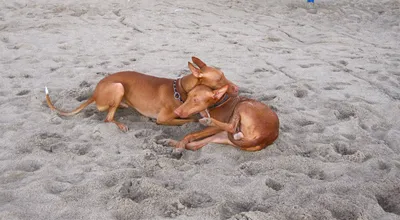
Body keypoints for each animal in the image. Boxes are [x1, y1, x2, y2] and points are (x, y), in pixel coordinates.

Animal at [44, 57, 238, 131]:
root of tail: (95, 92)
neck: (180, 90)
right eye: (220, 78)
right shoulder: (163, 118)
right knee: (108, 118)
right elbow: (189, 119)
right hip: (118, 87)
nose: (237, 88)